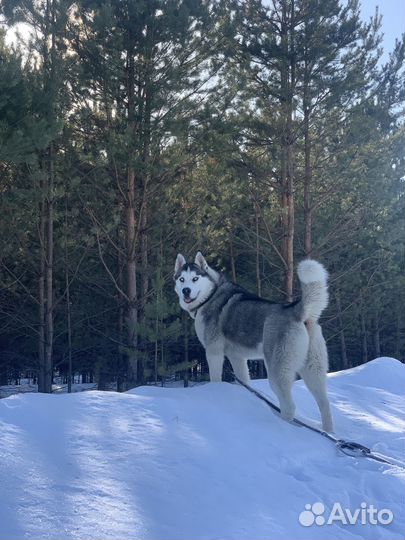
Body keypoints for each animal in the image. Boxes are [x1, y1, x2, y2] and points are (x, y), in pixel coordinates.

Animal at [172, 251, 332, 432]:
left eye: (195, 279)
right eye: (181, 279)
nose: (186, 291)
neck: (211, 294)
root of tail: (295, 310)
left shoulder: (214, 352)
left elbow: (215, 378)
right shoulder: (237, 358)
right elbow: (244, 380)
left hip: (277, 372)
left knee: (289, 407)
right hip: (313, 370)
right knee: (325, 405)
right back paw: (328, 432)